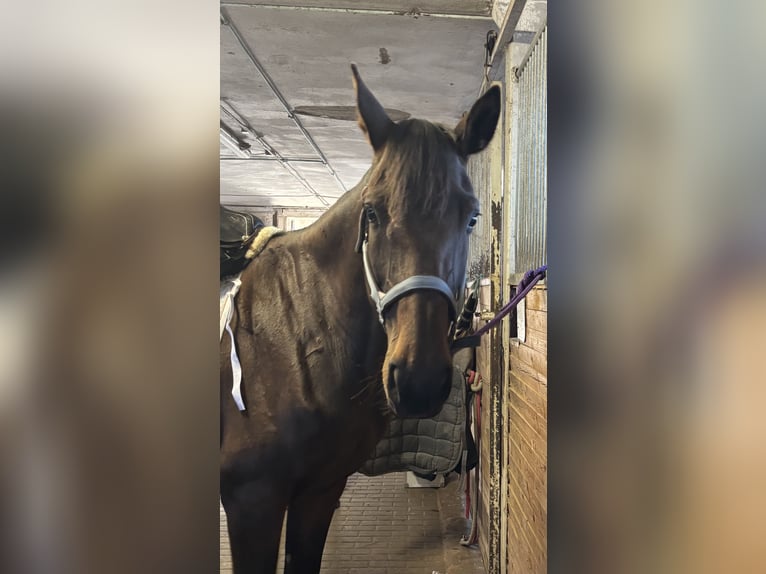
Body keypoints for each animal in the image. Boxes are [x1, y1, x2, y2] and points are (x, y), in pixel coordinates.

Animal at [220, 64, 500, 573]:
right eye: (371, 212)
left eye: (471, 218)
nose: (418, 381)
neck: (292, 341)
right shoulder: (252, 503)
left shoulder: (320, 493)